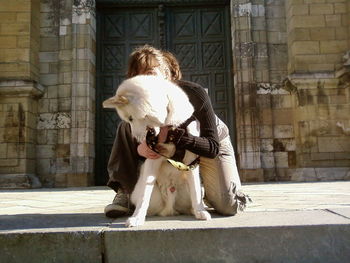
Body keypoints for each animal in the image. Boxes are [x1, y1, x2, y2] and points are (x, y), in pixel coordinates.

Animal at [103, 75, 211, 228]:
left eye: (130, 118)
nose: (136, 138)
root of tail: (169, 210)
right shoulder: (153, 159)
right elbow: (144, 196)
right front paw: (137, 218)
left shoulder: (191, 160)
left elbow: (195, 190)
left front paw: (200, 211)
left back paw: (197, 209)